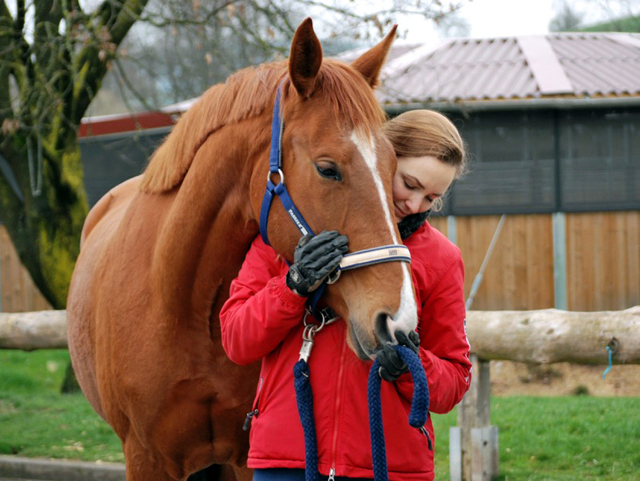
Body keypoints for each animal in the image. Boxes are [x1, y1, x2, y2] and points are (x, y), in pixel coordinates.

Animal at [66, 18, 416, 480]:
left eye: (394, 168)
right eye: (327, 169)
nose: (399, 322)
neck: (184, 306)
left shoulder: (248, 456)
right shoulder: (145, 457)